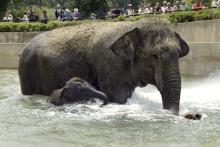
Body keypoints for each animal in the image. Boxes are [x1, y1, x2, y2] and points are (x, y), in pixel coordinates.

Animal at [18, 17, 189, 113]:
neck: (131, 25)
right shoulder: (110, 64)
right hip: (26, 72)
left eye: (179, 53)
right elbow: (118, 98)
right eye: (154, 56)